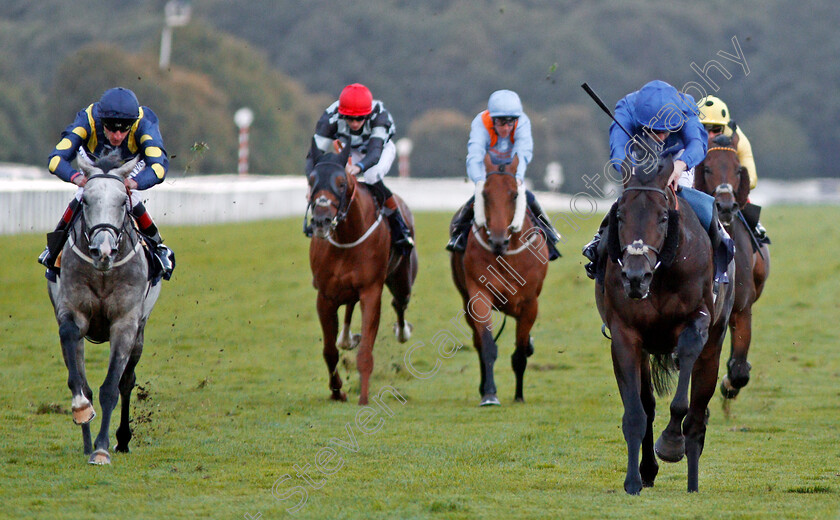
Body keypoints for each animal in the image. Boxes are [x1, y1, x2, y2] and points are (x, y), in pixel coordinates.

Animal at [46, 152, 162, 466]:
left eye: (123, 201)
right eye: (85, 200)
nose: (103, 251)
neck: (103, 273)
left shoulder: (126, 323)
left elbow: (112, 387)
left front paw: (102, 449)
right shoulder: (71, 312)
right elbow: (78, 375)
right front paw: (82, 411)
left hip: (141, 332)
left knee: (127, 382)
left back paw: (121, 440)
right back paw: (87, 440)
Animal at [306, 142, 418, 406]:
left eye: (341, 183)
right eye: (311, 180)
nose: (321, 221)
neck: (346, 237)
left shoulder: (371, 291)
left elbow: (366, 350)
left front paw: (364, 398)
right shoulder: (325, 296)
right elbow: (329, 351)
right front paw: (337, 392)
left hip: (402, 280)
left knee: (399, 303)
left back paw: (402, 331)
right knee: (348, 308)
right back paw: (347, 338)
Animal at [452, 158, 552, 406]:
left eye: (514, 195)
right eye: (485, 194)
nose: (498, 240)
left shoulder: (529, 304)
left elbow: (520, 352)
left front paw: (519, 395)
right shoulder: (478, 295)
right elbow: (488, 345)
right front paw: (489, 393)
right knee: (478, 342)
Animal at [592, 140, 736, 494]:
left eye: (661, 217)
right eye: (620, 215)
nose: (635, 276)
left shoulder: (697, 322)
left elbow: (683, 400)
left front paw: (671, 443)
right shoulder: (625, 334)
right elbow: (636, 411)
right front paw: (633, 480)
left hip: (714, 345)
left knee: (697, 414)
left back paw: (692, 480)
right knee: (649, 404)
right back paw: (647, 470)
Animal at [692, 133, 772, 398]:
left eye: (738, 169)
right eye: (707, 168)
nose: (726, 207)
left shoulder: (742, 308)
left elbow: (738, 368)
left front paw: (729, 382)